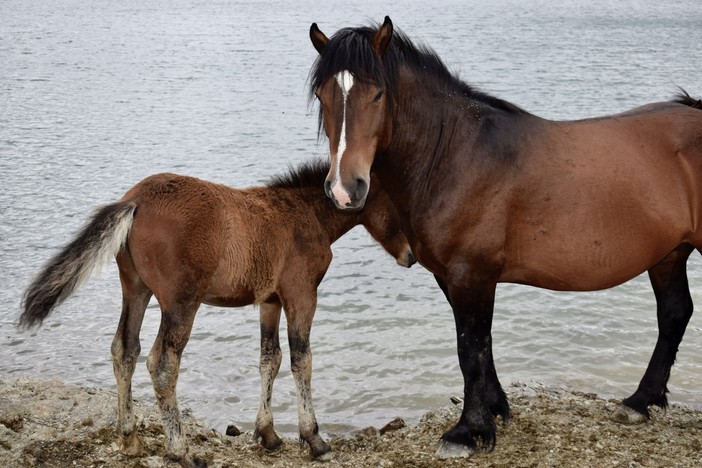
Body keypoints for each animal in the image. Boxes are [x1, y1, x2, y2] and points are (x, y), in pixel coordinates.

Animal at [19, 159, 416, 466]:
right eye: (401, 207)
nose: (412, 256)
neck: (304, 215)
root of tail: (133, 201)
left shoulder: (269, 300)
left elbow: (269, 358)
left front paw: (268, 434)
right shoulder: (301, 293)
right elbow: (301, 360)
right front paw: (314, 440)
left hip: (135, 289)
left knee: (124, 350)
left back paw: (130, 439)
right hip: (181, 302)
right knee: (162, 364)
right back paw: (181, 451)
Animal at [308, 17, 702, 458]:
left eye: (377, 94)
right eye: (323, 95)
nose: (345, 189)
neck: (453, 155)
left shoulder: (470, 274)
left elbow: (470, 349)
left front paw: (468, 430)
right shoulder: (452, 276)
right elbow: (482, 347)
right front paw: (495, 409)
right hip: (669, 254)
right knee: (674, 313)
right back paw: (639, 402)